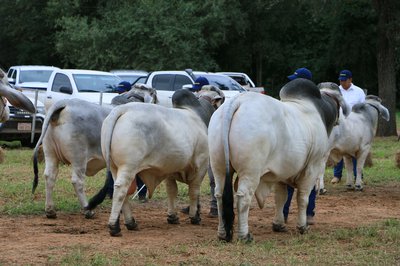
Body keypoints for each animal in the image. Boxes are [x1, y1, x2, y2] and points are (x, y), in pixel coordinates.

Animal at [31, 84, 158, 218]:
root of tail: (64, 103)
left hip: (50, 154)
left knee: (49, 176)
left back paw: (50, 210)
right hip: (79, 157)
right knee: (77, 181)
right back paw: (88, 210)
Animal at [101, 90, 211, 237]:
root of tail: (122, 109)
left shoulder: (170, 169)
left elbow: (172, 191)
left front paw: (172, 217)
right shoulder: (201, 165)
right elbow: (194, 191)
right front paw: (195, 217)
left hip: (115, 167)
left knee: (122, 191)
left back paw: (131, 223)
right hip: (128, 166)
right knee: (120, 190)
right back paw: (114, 227)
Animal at [209, 78, 350, 242]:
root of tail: (238, 100)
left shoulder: (280, 173)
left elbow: (280, 198)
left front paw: (279, 224)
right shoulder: (312, 168)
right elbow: (303, 198)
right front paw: (302, 227)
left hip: (219, 167)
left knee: (219, 195)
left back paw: (222, 233)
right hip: (250, 171)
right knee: (243, 198)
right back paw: (244, 235)